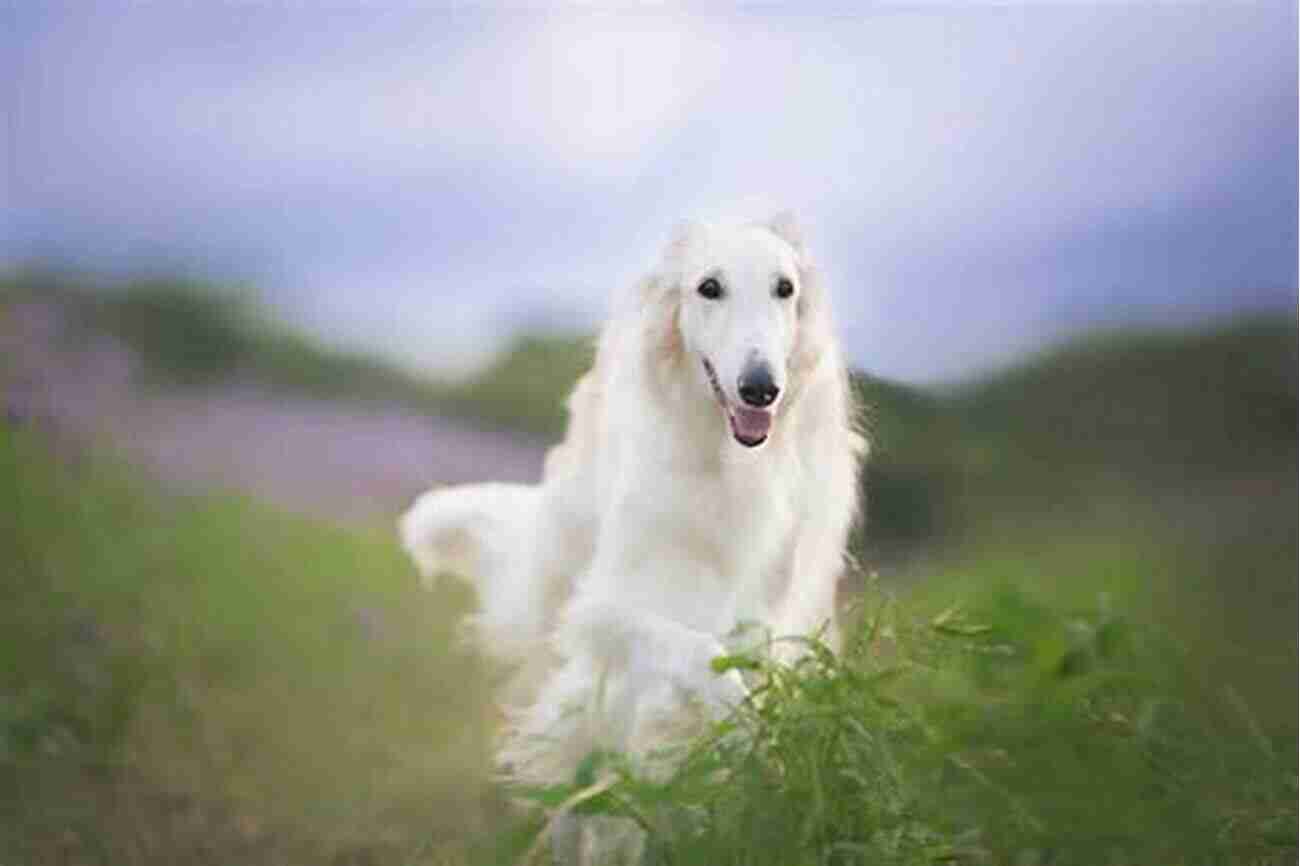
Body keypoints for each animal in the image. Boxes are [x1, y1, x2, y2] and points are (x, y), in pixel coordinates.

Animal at [395, 210, 863, 858]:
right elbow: (707, 662)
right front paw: (742, 732)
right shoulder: (603, 610)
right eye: (709, 287)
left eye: (784, 288)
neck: (730, 465)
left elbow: (744, 677)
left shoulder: (774, 620)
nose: (760, 388)